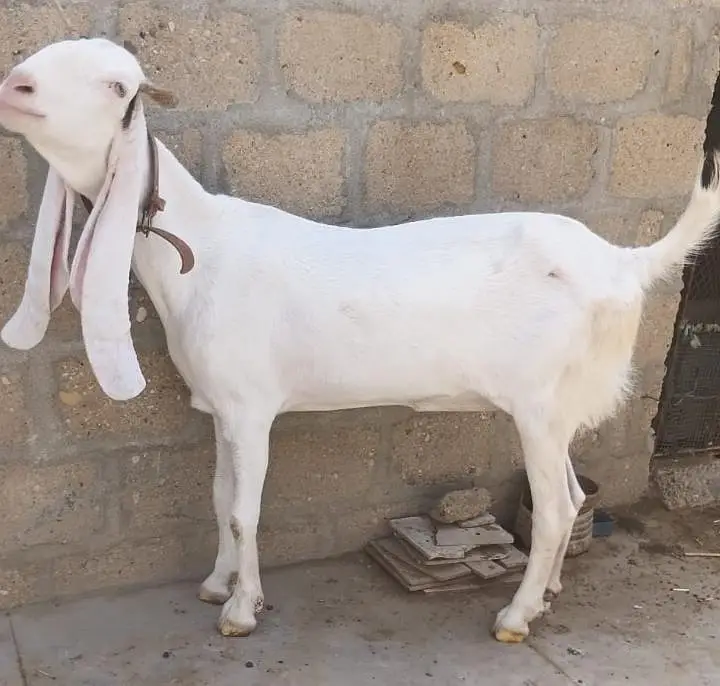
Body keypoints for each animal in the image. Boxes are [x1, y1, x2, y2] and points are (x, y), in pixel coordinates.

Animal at [1, 37, 719, 643]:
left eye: (117, 85)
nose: (17, 86)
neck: (201, 254)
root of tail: (622, 262)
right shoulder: (222, 409)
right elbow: (220, 499)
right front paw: (216, 583)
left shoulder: (252, 409)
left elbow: (243, 511)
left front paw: (242, 609)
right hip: (557, 407)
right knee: (569, 499)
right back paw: (546, 595)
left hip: (539, 407)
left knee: (556, 510)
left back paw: (516, 616)